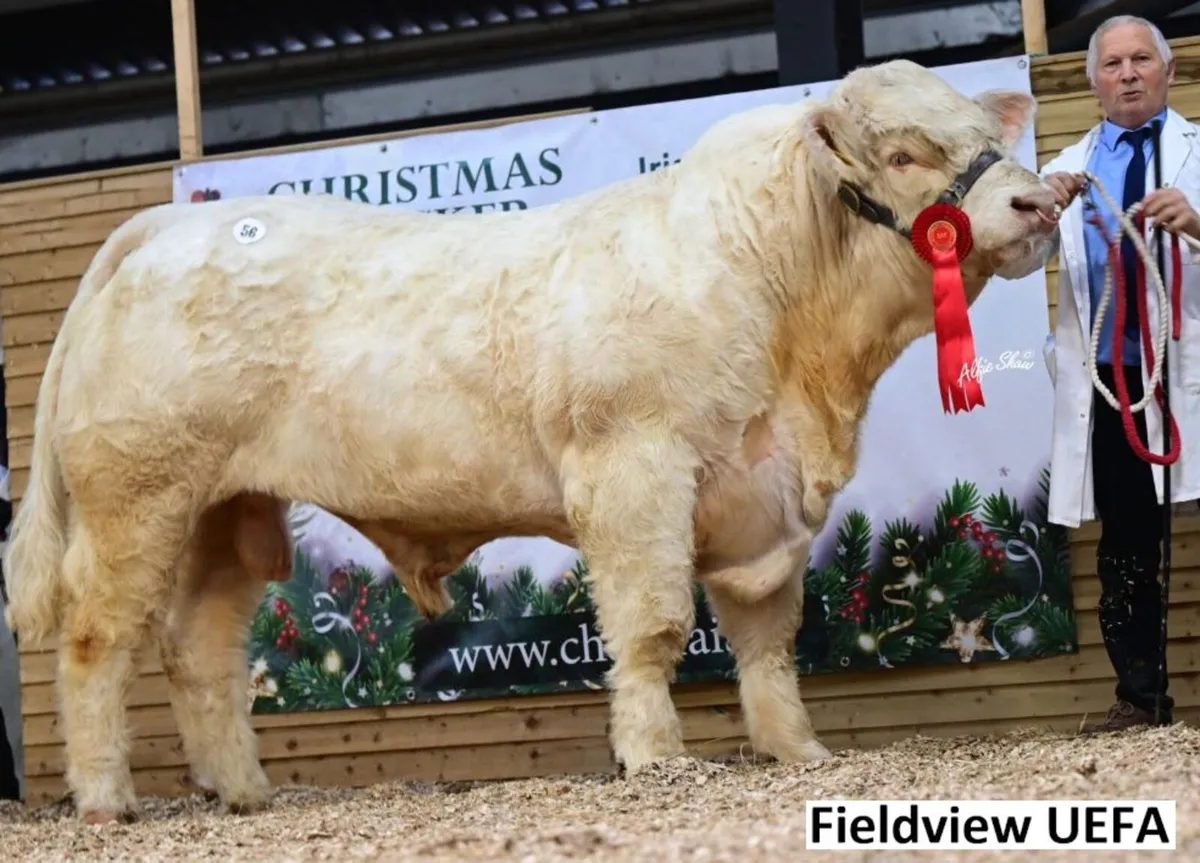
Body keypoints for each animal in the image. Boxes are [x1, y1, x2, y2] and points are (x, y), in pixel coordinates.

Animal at [2, 58, 1059, 825]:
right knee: (98, 638)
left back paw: (244, 791)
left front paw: (795, 751)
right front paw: (654, 755)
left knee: (201, 648)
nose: (1041, 203)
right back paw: (107, 799)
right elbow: (654, 624)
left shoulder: (767, 495)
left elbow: (767, 640)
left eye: (983, 135)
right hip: (137, 497)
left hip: (227, 511)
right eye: (909, 153)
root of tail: (167, 226)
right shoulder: (634, 469)